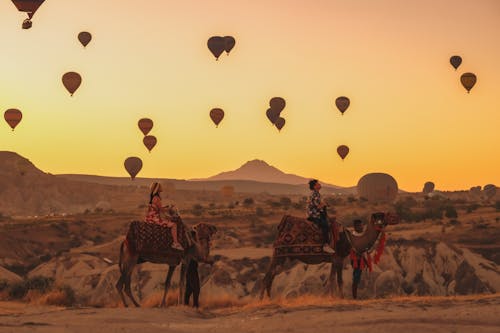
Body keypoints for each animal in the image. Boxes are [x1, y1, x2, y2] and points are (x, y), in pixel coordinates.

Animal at [262, 211, 398, 296]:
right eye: (383, 215)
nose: (395, 217)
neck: (351, 240)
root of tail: (281, 226)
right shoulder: (338, 258)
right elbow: (337, 280)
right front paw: (337, 297)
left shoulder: (336, 259)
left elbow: (334, 279)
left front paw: (335, 297)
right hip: (280, 255)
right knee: (268, 276)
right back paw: (263, 300)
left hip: (282, 257)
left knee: (271, 276)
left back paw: (269, 299)